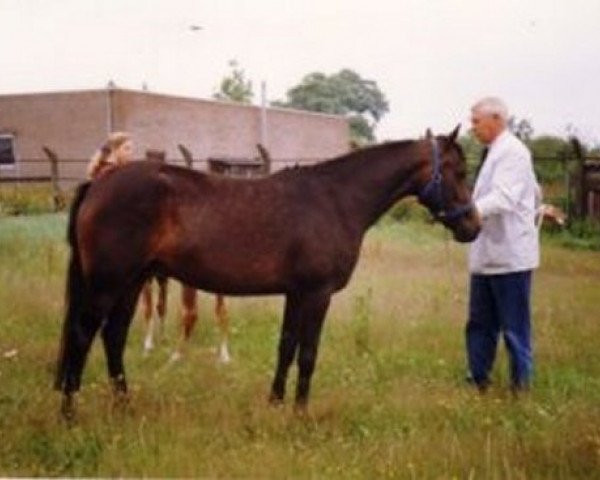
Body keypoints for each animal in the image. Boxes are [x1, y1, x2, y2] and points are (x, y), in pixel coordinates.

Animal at [55, 126, 478, 416]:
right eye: (458, 171)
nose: (473, 226)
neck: (336, 200)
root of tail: (99, 183)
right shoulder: (317, 294)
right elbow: (307, 353)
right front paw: (300, 413)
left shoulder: (296, 294)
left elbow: (286, 347)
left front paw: (275, 403)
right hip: (108, 285)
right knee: (82, 335)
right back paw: (70, 413)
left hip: (130, 283)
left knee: (113, 337)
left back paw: (124, 405)